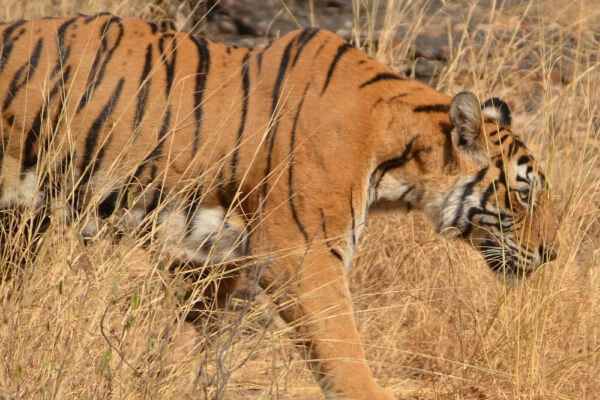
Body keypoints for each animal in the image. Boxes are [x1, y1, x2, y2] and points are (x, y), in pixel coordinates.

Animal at [0, 14, 556, 400]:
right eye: (524, 193)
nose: (551, 253)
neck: (398, 161)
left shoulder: (211, 260)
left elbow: (191, 344)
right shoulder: (301, 254)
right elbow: (344, 356)